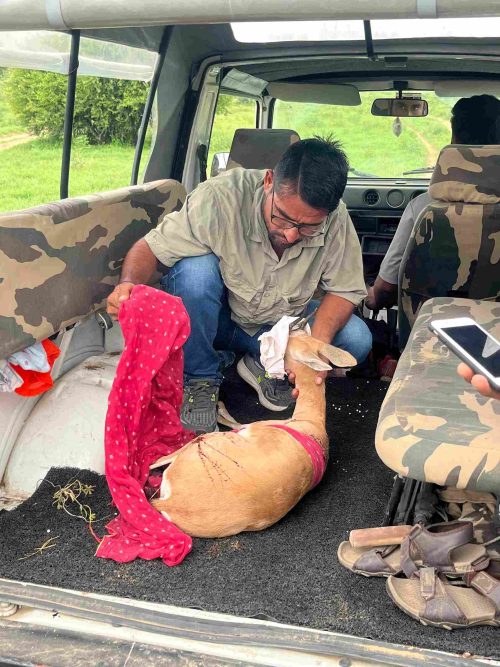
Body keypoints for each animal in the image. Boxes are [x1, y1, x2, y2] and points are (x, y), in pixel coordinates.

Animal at [149, 332, 356, 540]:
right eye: (301, 333)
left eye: (289, 342)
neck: (311, 422)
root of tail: (170, 502)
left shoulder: (253, 427)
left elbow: (237, 423)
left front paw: (220, 408)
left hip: (203, 444)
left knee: (159, 459)